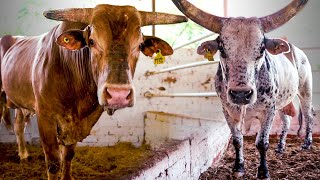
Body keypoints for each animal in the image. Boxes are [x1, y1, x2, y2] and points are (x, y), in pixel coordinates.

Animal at [0, 4, 188, 179]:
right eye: (91, 42)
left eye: (140, 44)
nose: (118, 94)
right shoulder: (45, 116)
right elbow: (53, 162)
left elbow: (68, 155)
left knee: (18, 126)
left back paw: (23, 154)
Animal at [171, 0, 314, 179]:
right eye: (222, 49)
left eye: (261, 49)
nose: (240, 94)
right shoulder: (227, 110)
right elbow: (237, 140)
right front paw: (238, 167)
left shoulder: (268, 110)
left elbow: (262, 142)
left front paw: (263, 171)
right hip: (282, 101)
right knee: (287, 121)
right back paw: (280, 147)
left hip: (305, 90)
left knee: (309, 115)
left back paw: (307, 143)